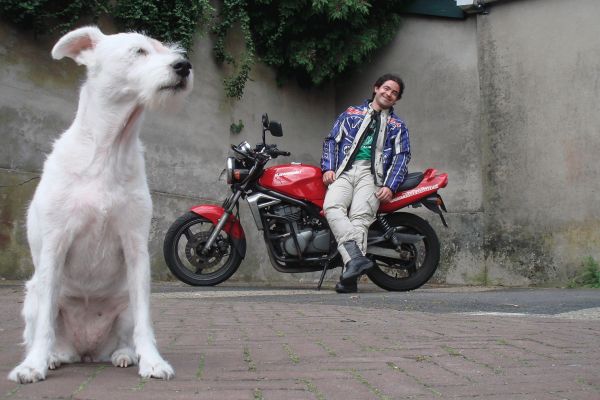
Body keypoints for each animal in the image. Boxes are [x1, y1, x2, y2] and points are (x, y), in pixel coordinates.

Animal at [8, 26, 192, 382]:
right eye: (139, 51)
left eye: (167, 49)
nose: (184, 66)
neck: (109, 150)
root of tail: (87, 353)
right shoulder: (55, 245)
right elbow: (44, 327)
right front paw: (33, 365)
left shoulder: (135, 248)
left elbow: (145, 324)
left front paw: (152, 361)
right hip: (33, 296)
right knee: (46, 331)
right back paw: (52, 357)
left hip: (123, 309)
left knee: (124, 338)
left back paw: (123, 355)